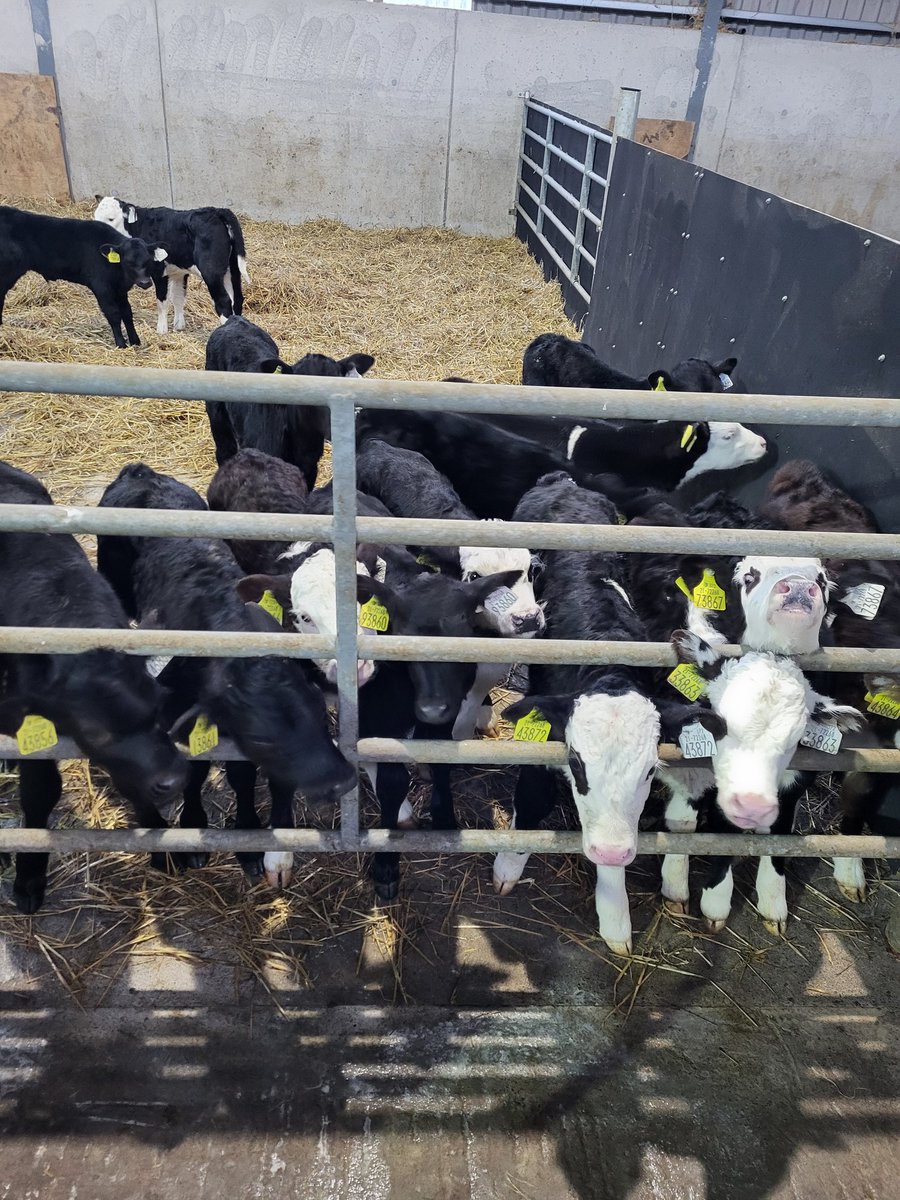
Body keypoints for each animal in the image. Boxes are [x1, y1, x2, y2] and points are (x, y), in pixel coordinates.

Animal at [0, 205, 168, 347]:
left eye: (148, 260)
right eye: (128, 262)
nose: (145, 282)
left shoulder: (120, 289)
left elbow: (127, 312)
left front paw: (135, 341)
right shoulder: (101, 286)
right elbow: (113, 314)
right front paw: (121, 344)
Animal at [93, 195, 249, 332]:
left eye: (111, 218)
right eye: (95, 217)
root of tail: (217, 211)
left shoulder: (158, 270)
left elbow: (162, 301)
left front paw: (161, 330)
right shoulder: (179, 271)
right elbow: (178, 297)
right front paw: (179, 325)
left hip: (211, 272)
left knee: (224, 301)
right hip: (232, 268)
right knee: (237, 298)